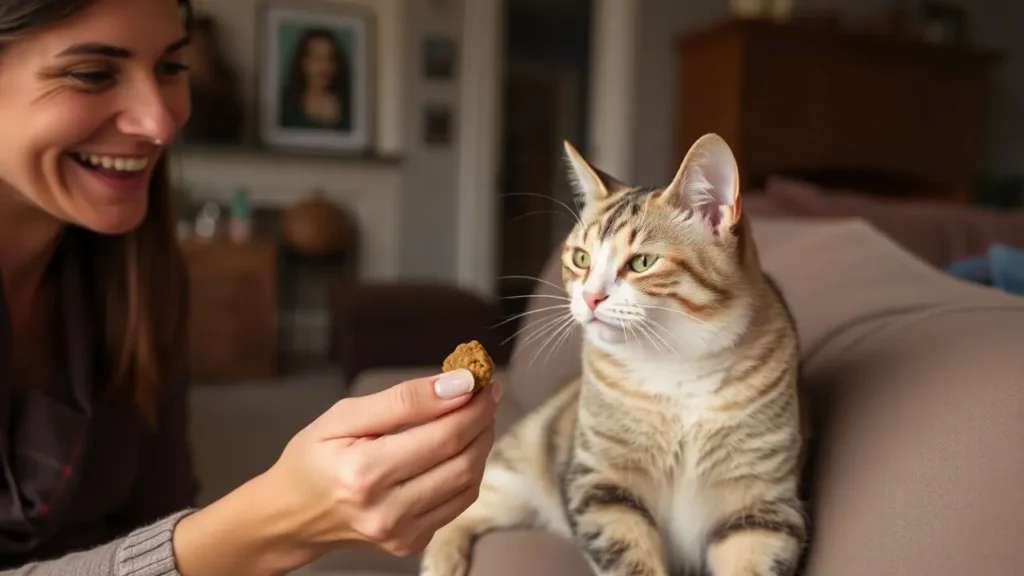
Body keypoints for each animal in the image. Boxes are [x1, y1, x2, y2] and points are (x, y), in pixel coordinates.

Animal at [417, 132, 806, 569]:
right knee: (464, 511)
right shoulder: (601, 484)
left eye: (643, 262)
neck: (677, 369)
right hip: (521, 469)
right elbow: (629, 554)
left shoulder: (764, 505)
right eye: (581, 257)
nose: (590, 297)